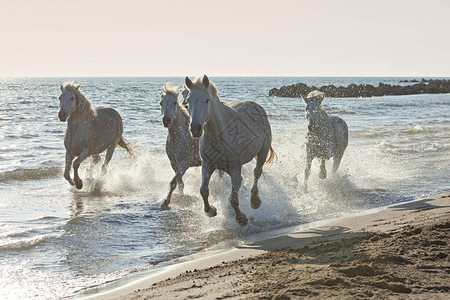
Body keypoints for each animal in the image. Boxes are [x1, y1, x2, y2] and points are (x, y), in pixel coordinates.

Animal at [184, 75, 274, 225]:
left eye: (206, 100)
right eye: (188, 101)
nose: (195, 128)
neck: (220, 136)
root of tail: (257, 106)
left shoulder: (235, 170)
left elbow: (233, 199)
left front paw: (241, 218)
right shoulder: (207, 166)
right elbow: (204, 191)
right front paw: (211, 211)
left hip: (263, 151)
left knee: (257, 173)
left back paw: (255, 201)